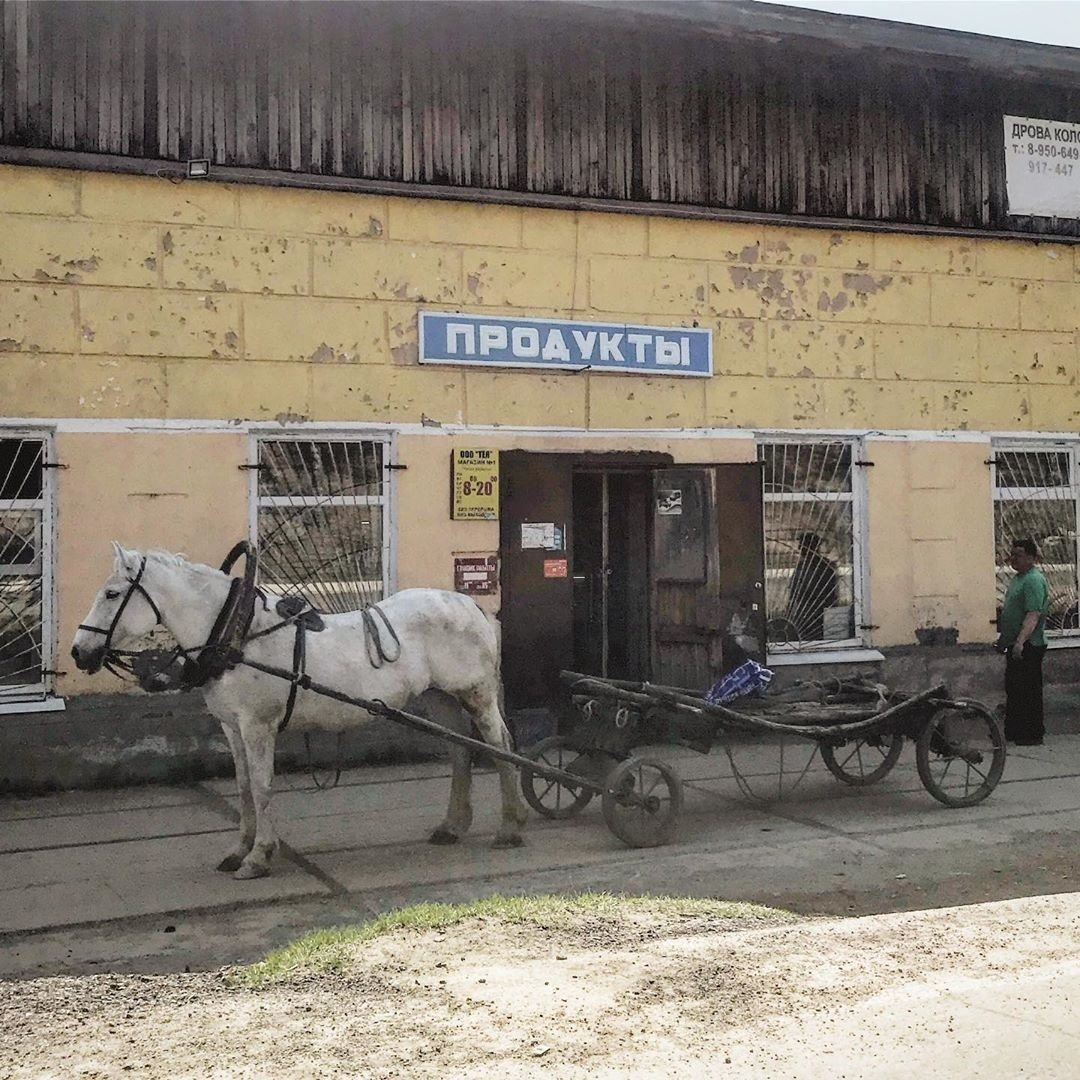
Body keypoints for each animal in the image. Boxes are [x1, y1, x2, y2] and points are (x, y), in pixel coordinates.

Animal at [70, 544, 527, 881]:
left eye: (112, 594)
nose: (78, 652)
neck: (238, 636)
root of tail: (470, 604)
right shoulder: (232, 727)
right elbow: (243, 789)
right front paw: (238, 850)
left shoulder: (257, 726)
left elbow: (262, 788)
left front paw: (258, 857)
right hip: (439, 698)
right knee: (460, 752)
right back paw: (452, 826)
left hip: (476, 694)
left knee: (500, 747)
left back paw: (510, 826)